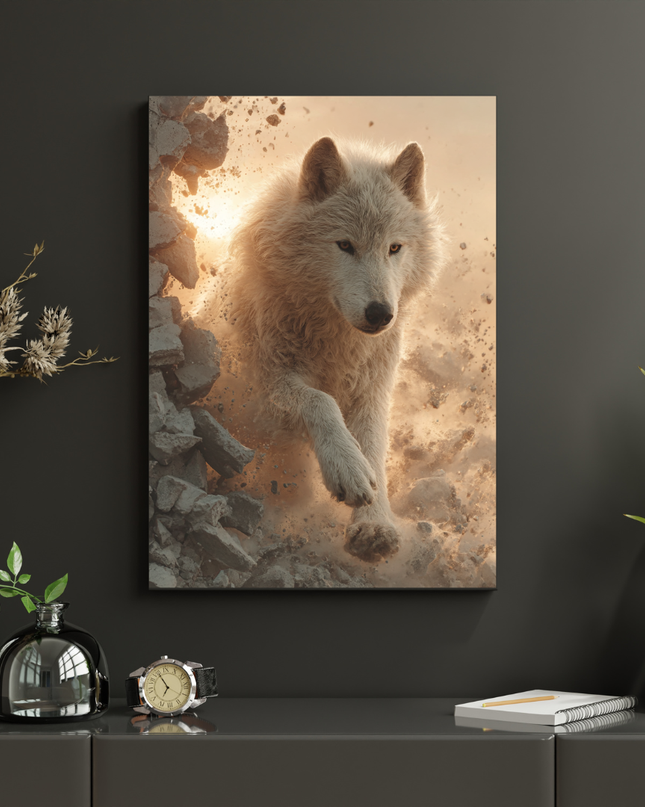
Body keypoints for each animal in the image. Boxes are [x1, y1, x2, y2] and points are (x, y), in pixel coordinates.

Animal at [230, 137, 446, 562]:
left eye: (394, 247)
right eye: (345, 245)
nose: (380, 314)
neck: (335, 339)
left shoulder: (373, 389)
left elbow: (374, 447)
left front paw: (375, 525)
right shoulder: (264, 388)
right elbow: (320, 401)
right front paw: (347, 468)